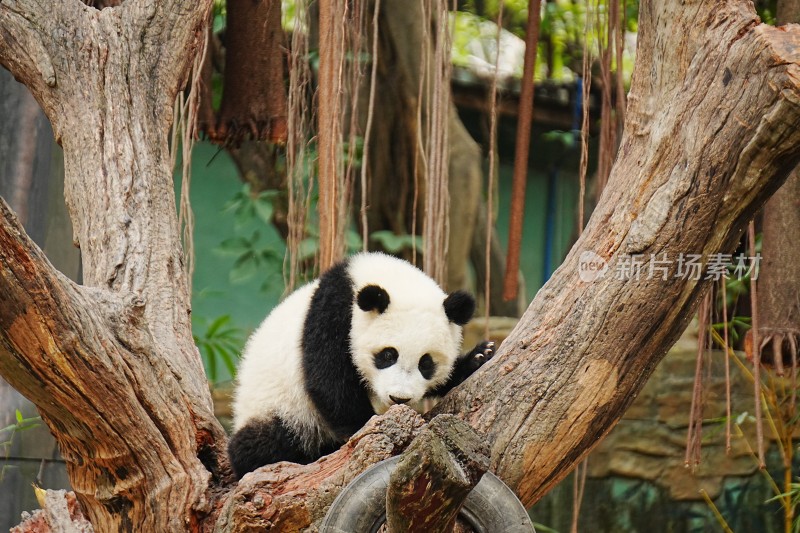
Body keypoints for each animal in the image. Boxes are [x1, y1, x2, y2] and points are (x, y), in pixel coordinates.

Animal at [227, 251, 494, 476]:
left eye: (426, 363)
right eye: (388, 355)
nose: (399, 398)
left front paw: (479, 356)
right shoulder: (332, 314)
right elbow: (329, 381)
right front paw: (363, 427)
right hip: (281, 408)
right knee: (262, 444)